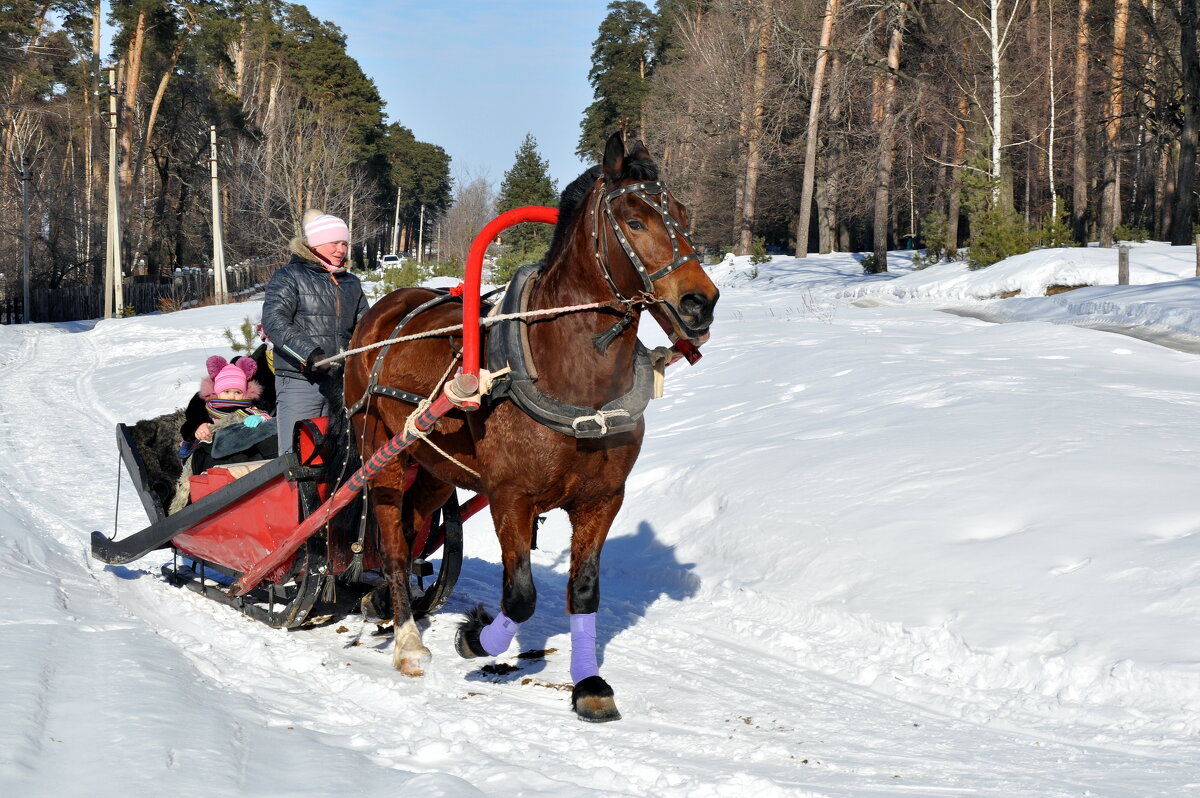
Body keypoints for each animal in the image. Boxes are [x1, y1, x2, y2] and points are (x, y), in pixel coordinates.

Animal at [343, 132, 715, 720]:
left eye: (680, 214)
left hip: (435, 468)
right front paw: (475, 637)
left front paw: (589, 684)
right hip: (383, 450)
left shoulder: (602, 498)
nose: (701, 301)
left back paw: (385, 602)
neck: (577, 383)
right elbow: (519, 597)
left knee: (412, 522)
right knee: (394, 541)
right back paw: (406, 640)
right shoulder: (510, 494)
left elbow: (582, 591)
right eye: (634, 221)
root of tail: (385, 309)